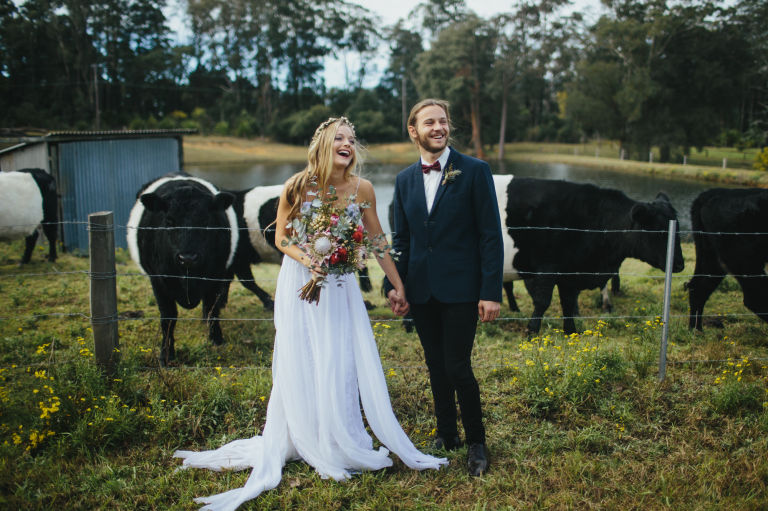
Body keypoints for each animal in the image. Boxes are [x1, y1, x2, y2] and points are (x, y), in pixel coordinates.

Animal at [500, 177, 688, 336]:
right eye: (660, 232)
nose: (679, 264)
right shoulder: (547, 268)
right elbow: (542, 301)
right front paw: (531, 332)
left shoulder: (570, 272)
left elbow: (568, 302)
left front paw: (571, 332)